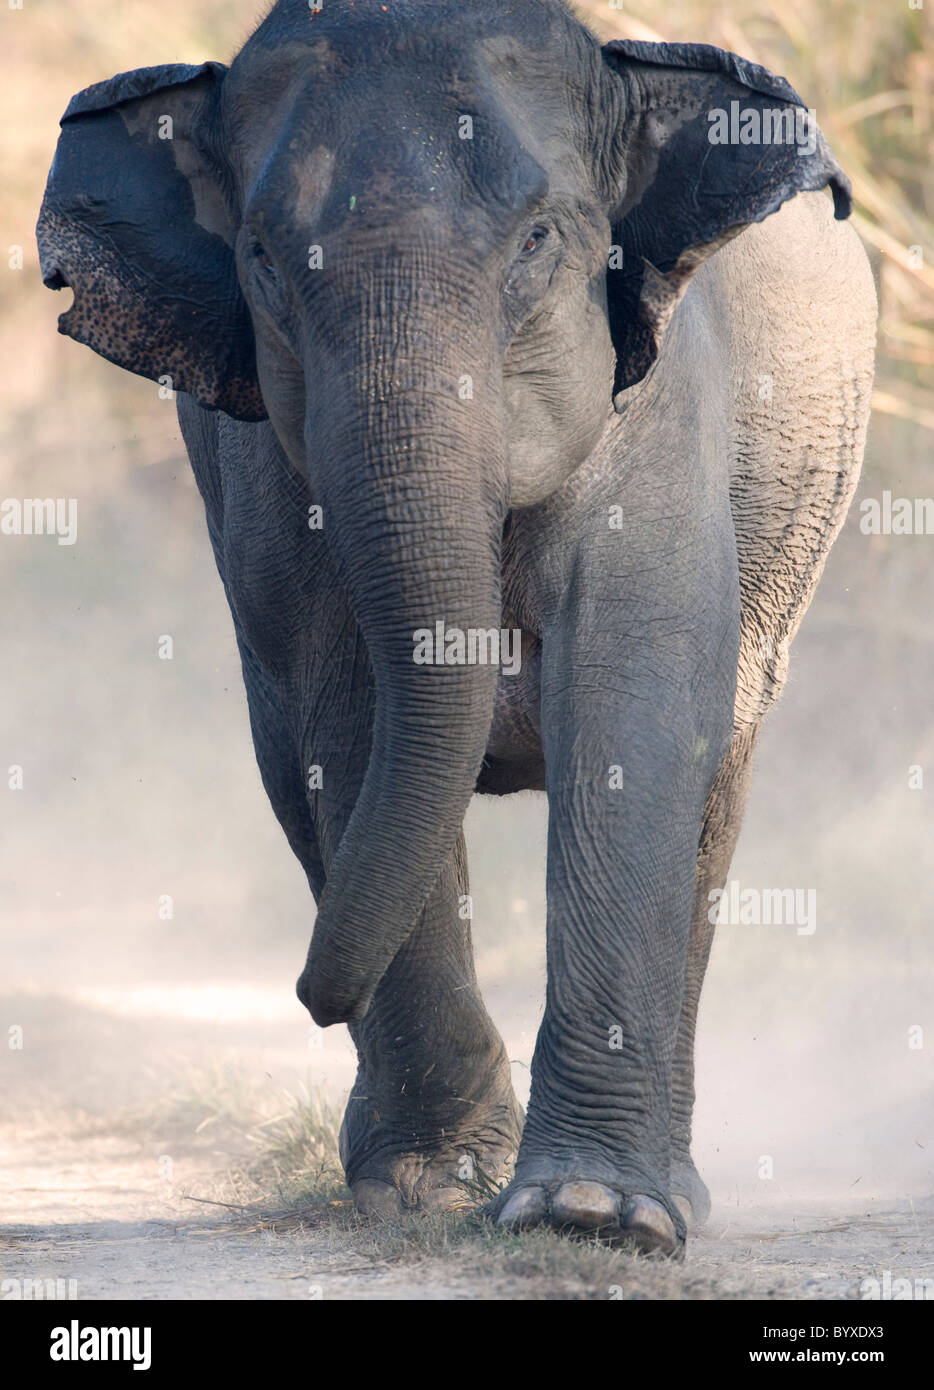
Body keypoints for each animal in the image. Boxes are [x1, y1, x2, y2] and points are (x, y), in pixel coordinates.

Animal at [36, 0, 878, 1256]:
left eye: (538, 240)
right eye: (261, 262)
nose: (306, 992)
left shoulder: (659, 391)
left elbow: (629, 704)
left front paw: (591, 1216)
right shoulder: (266, 456)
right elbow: (348, 712)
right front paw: (437, 1187)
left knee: (716, 793)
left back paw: (668, 1190)